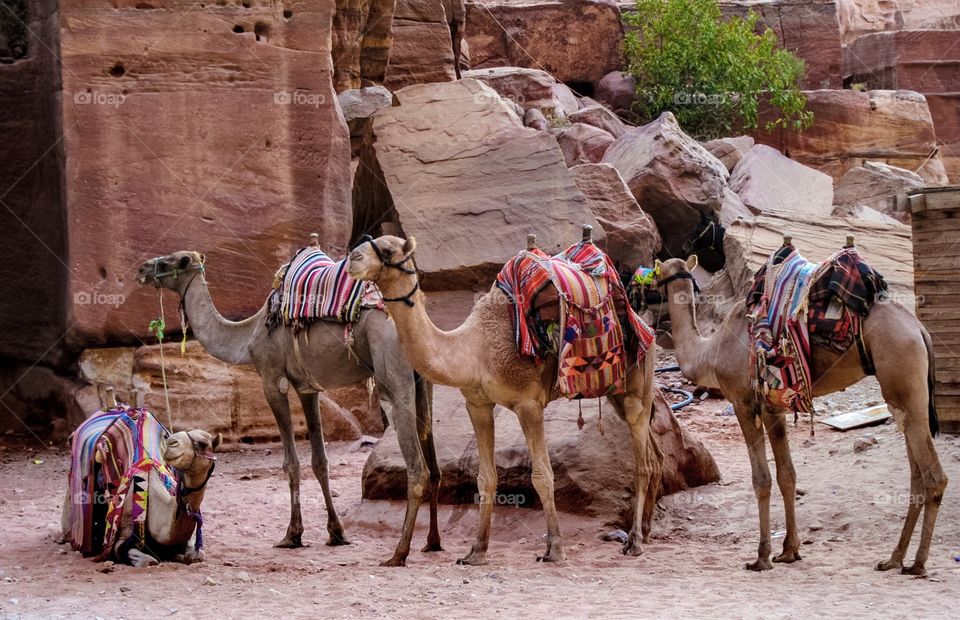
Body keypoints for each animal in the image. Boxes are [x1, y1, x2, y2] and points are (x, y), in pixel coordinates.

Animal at [136, 250, 442, 567]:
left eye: (169, 261)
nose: (142, 269)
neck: (248, 336)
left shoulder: (273, 380)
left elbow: (291, 462)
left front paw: (292, 535)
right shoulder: (308, 388)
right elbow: (320, 461)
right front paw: (336, 533)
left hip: (392, 373)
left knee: (417, 467)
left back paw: (398, 553)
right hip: (423, 379)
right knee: (434, 465)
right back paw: (432, 542)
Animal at [347, 234, 662, 564]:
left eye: (387, 250)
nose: (353, 258)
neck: (474, 349)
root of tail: (645, 325)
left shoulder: (529, 405)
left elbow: (542, 475)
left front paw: (554, 548)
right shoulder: (477, 404)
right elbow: (486, 478)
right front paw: (476, 551)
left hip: (637, 386)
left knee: (643, 464)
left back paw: (635, 542)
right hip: (617, 392)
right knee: (654, 455)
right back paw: (644, 532)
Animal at [655, 255, 947, 575]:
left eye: (655, 273)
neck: (711, 350)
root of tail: (920, 330)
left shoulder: (744, 402)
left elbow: (761, 479)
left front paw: (761, 556)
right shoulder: (773, 407)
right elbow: (787, 475)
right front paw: (789, 551)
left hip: (903, 373)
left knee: (934, 476)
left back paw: (917, 563)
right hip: (903, 394)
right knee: (916, 474)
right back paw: (894, 559)